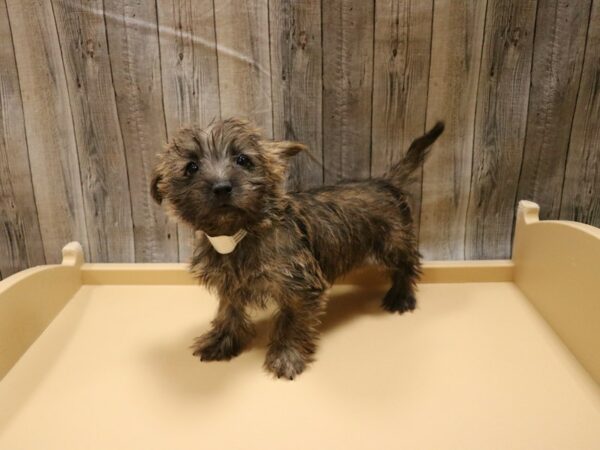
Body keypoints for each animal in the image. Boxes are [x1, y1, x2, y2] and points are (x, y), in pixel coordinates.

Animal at [151, 118, 440, 378]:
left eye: (243, 160)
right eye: (191, 167)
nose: (222, 187)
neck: (239, 236)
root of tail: (385, 182)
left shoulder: (301, 288)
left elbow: (292, 323)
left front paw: (286, 356)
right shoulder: (230, 284)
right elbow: (228, 313)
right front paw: (221, 341)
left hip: (393, 243)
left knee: (408, 264)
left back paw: (401, 296)